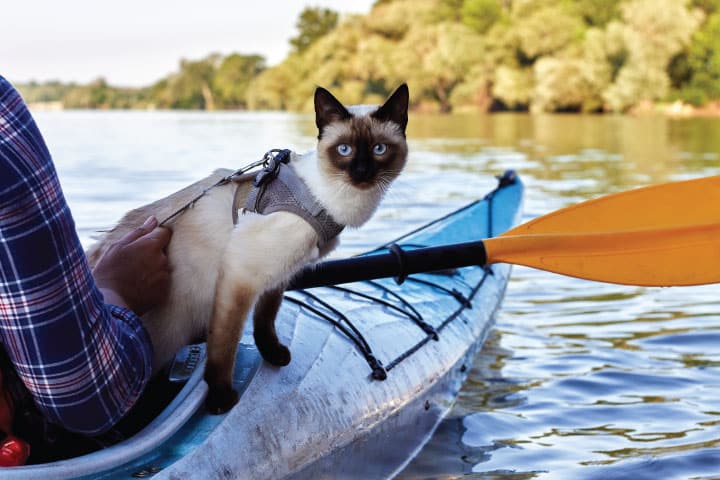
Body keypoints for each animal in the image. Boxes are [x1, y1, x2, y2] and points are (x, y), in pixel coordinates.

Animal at [87, 83, 408, 412]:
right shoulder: (240, 274)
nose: (362, 172)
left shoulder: (279, 274)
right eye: (344, 150)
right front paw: (220, 399)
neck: (328, 202)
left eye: (379, 150)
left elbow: (265, 318)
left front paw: (273, 355)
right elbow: (225, 344)